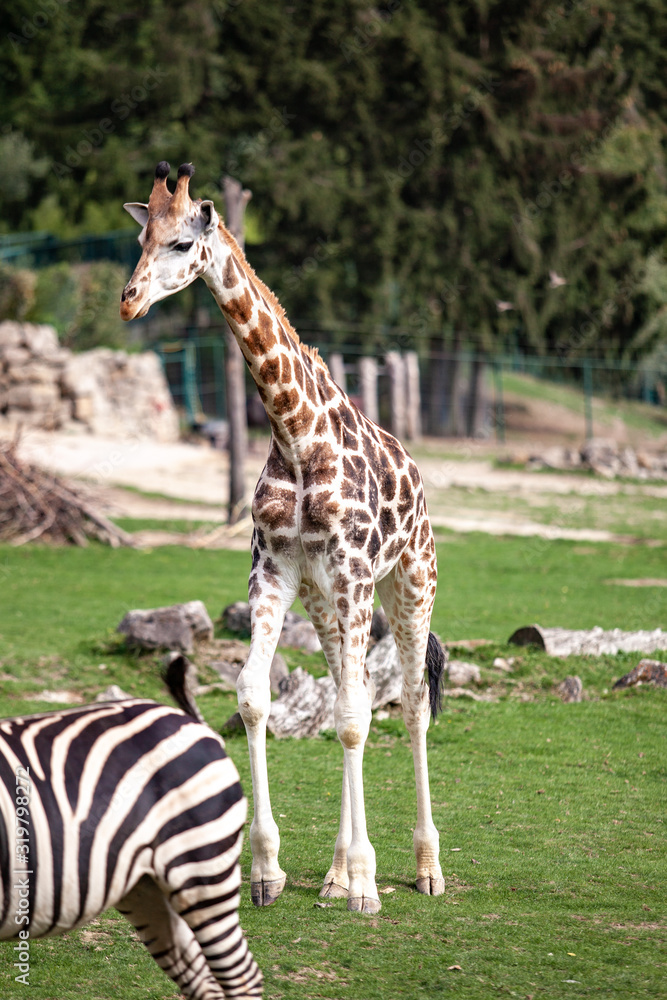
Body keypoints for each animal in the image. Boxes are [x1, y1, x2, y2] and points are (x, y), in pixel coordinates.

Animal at [120, 162, 446, 915]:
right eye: (141, 238)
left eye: (182, 243)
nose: (129, 302)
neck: (294, 434)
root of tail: (417, 474)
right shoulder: (273, 572)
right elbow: (255, 696)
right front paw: (269, 869)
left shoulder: (355, 573)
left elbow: (356, 718)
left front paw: (366, 885)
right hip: (327, 604)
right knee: (350, 690)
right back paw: (331, 874)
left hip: (407, 582)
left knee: (412, 705)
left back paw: (422, 869)